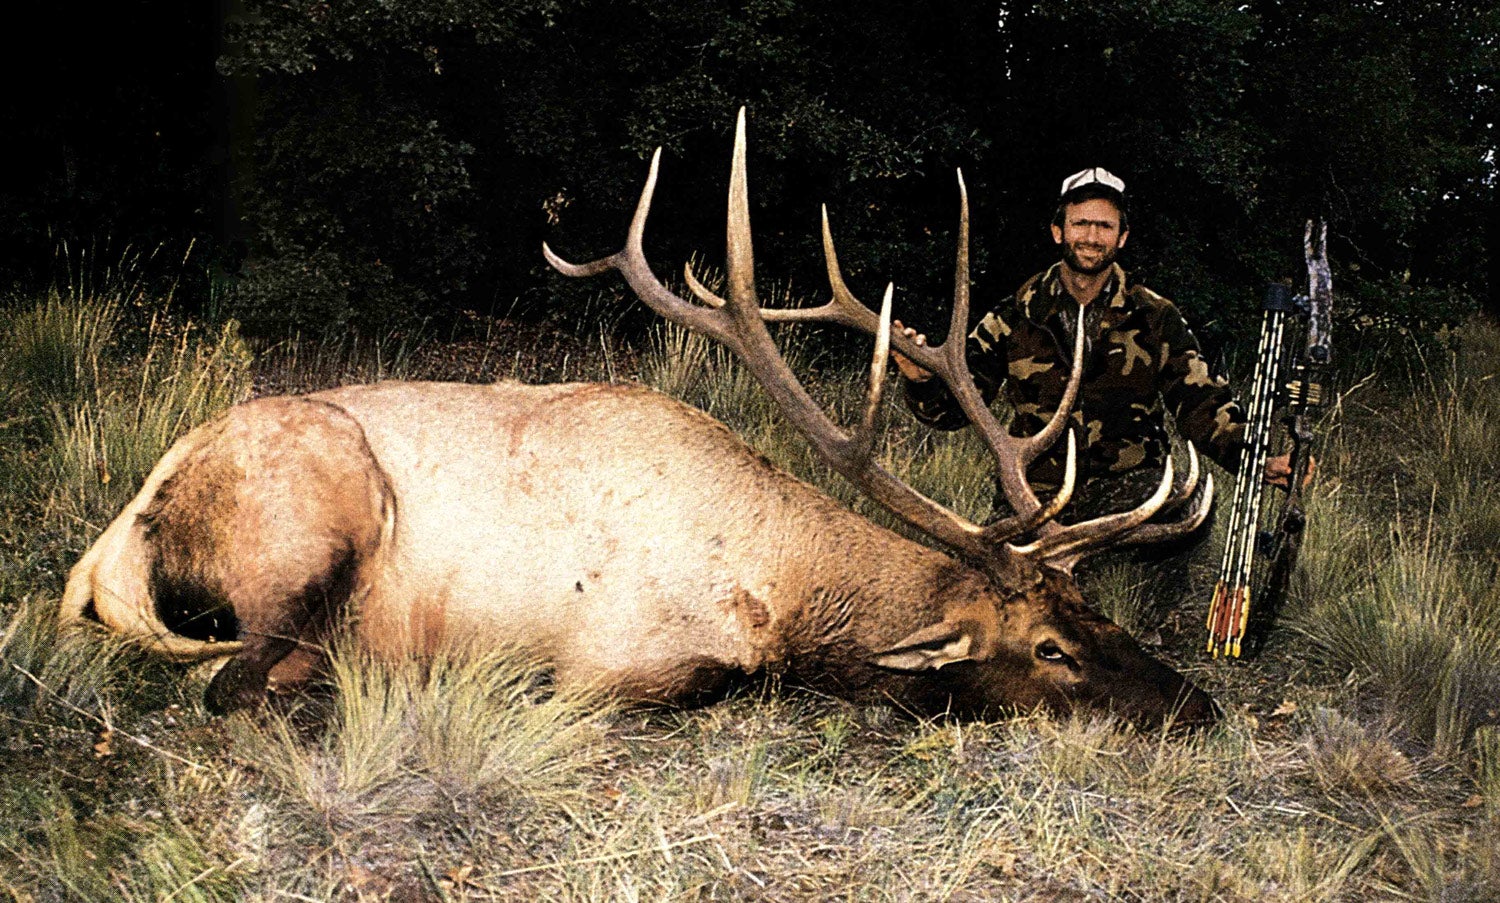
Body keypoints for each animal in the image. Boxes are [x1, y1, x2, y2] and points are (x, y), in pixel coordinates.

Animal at [60, 109, 1218, 728]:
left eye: (1097, 610)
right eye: (1050, 649)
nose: (1195, 704)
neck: (775, 582)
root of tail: (108, 548)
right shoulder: (616, 656)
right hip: (315, 508)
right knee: (231, 677)